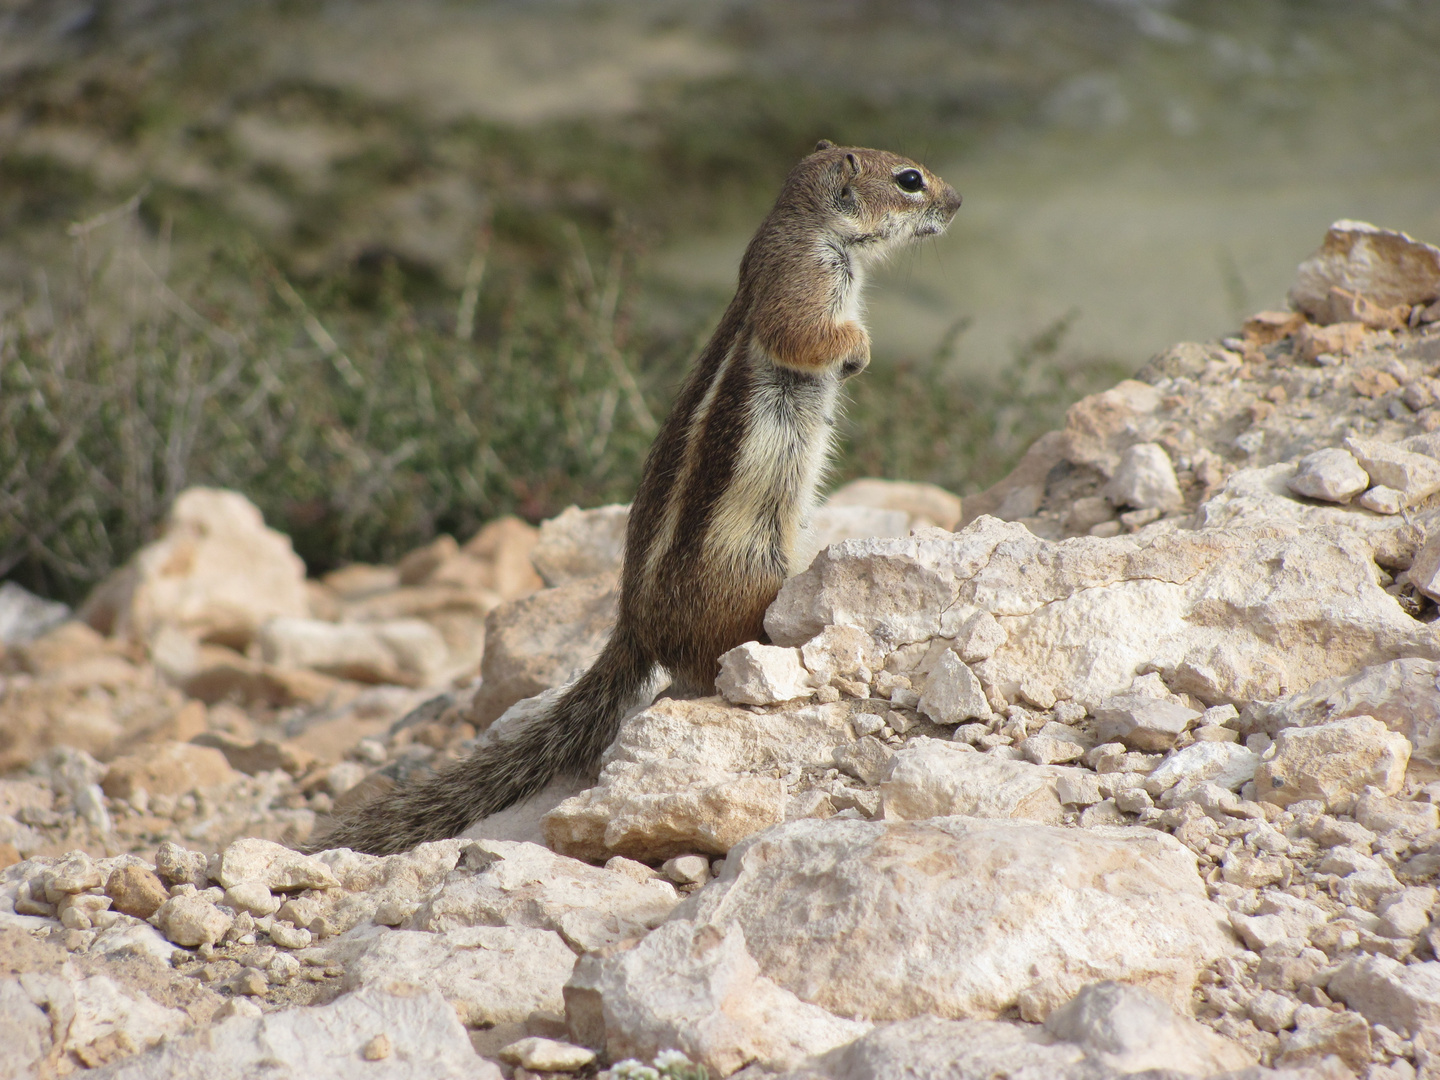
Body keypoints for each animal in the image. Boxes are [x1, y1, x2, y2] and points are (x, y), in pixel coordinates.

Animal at [309, 141, 961, 852]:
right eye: (909, 180)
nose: (957, 202)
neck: (805, 225)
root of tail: (635, 626)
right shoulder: (801, 282)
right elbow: (804, 335)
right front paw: (858, 351)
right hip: (748, 568)